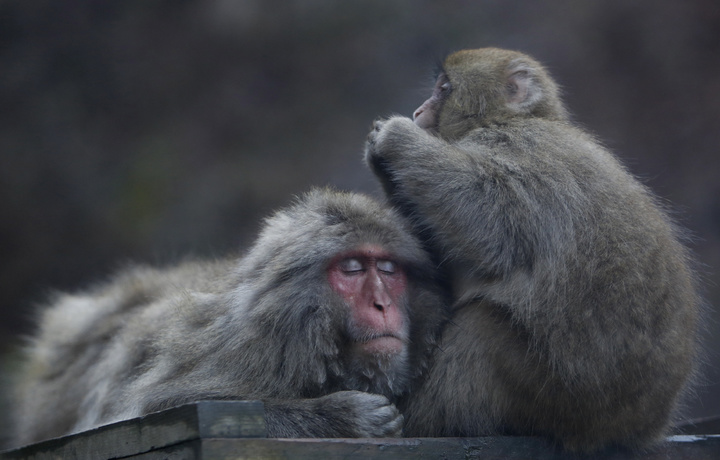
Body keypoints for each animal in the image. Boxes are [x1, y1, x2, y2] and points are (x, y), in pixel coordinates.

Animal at [11, 189, 448, 448]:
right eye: (353, 268)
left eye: (388, 270)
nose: (381, 304)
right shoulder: (257, 350)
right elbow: (170, 408)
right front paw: (341, 417)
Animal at [362, 47, 700, 452]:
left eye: (444, 89)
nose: (418, 111)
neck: (515, 119)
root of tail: (637, 426)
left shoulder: (518, 150)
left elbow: (491, 229)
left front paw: (398, 138)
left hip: (562, 396)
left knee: (480, 330)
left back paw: (422, 422)